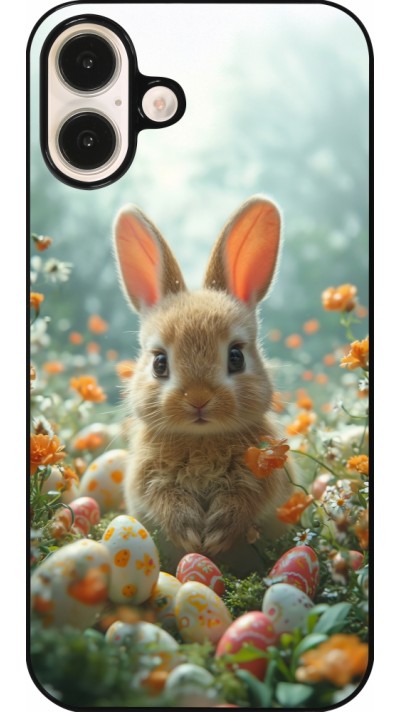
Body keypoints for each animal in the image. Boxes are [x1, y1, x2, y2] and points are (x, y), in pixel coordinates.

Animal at [113, 195, 294, 568]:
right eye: (159, 363)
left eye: (236, 357)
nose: (198, 399)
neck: (201, 438)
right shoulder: (148, 479)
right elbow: (164, 499)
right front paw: (190, 534)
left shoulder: (262, 476)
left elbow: (244, 500)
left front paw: (217, 535)